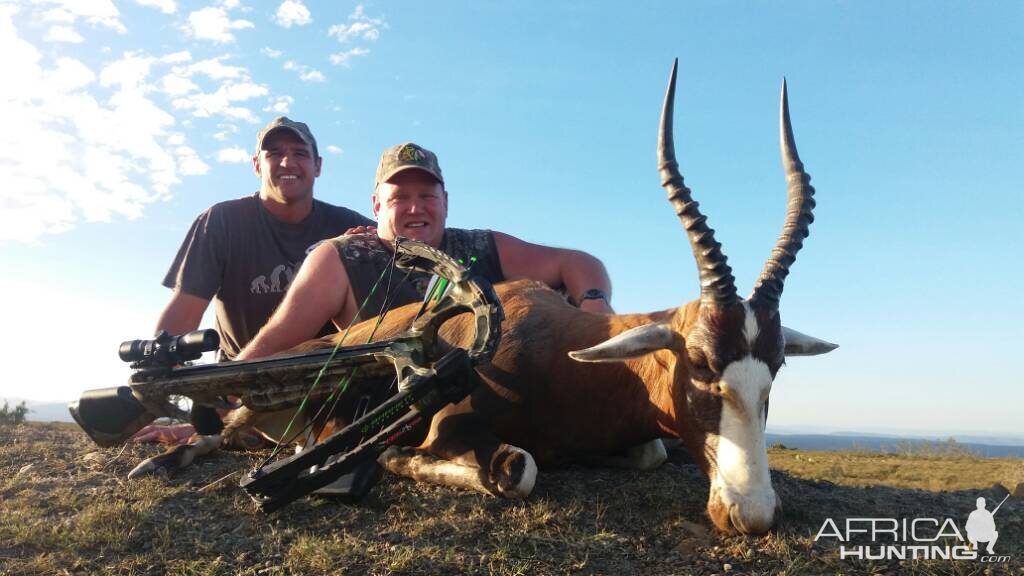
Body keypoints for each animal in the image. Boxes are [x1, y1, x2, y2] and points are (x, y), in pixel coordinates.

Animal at [130, 61, 831, 532]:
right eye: (702, 367)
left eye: (775, 370)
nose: (753, 514)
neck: (562, 356)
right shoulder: (455, 428)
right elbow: (516, 470)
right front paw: (394, 459)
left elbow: (651, 451)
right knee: (220, 434)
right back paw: (160, 461)